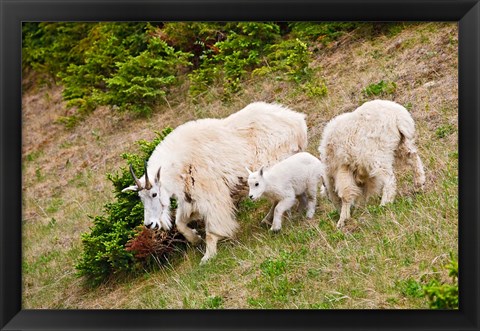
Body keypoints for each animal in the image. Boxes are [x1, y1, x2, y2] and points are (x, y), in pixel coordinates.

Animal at [122, 102, 306, 266]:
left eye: (154, 194)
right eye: (140, 197)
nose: (149, 224)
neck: (179, 165)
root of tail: (298, 123)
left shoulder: (210, 195)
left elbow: (211, 230)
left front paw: (208, 256)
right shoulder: (190, 199)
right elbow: (180, 224)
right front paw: (195, 238)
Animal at [318, 99, 424, 228]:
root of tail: (398, 117)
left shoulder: (342, 168)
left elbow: (346, 193)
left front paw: (342, 220)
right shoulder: (363, 173)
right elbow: (368, 188)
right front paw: (365, 204)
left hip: (377, 154)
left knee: (389, 178)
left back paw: (385, 203)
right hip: (400, 145)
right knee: (413, 157)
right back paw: (419, 183)